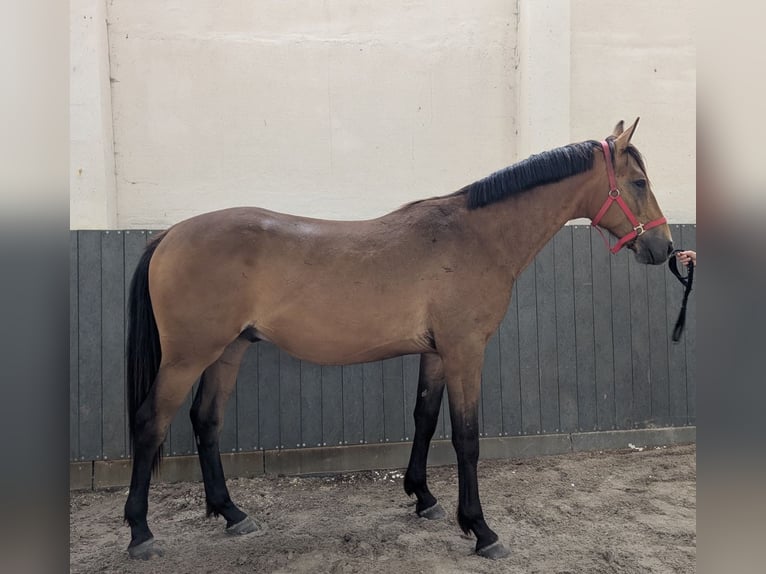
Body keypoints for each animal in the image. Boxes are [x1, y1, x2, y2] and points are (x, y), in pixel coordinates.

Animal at [123, 119, 673, 560]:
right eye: (639, 182)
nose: (664, 248)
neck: (476, 236)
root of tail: (168, 235)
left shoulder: (436, 354)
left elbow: (424, 419)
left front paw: (423, 498)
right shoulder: (465, 352)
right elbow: (466, 438)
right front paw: (481, 529)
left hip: (228, 351)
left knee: (205, 422)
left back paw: (232, 514)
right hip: (187, 358)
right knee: (151, 424)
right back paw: (140, 533)